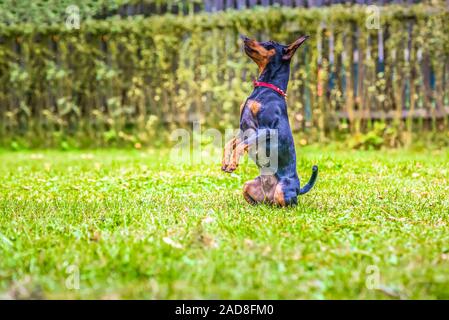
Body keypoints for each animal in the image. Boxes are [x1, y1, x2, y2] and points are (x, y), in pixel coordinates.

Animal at [221, 34, 318, 205]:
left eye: (271, 43)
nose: (244, 37)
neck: (266, 89)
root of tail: (298, 189)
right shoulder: (244, 130)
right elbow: (229, 144)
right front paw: (226, 163)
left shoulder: (266, 129)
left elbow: (240, 146)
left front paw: (233, 163)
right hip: (248, 185)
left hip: (282, 190)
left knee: (290, 205)